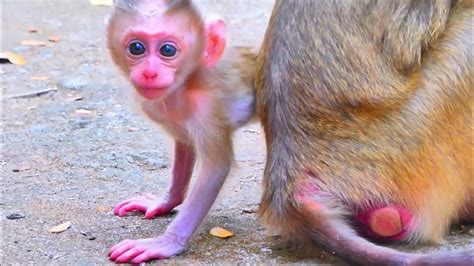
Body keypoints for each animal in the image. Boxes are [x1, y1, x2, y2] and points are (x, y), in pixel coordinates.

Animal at [105, 0, 254, 262]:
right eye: (136, 47)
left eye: (167, 50)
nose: (149, 73)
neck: (186, 83)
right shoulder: (157, 105)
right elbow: (185, 144)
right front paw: (165, 202)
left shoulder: (206, 109)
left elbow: (216, 168)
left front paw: (166, 243)